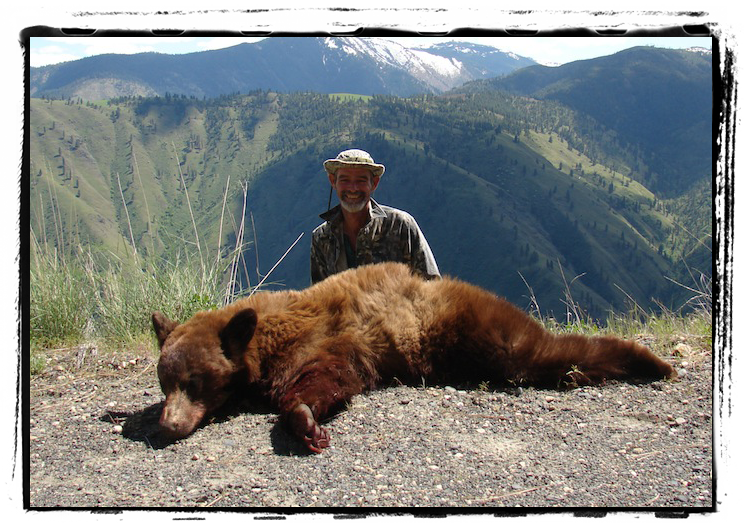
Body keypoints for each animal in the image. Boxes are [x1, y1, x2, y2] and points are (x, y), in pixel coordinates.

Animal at [151, 262, 675, 453]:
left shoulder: (329, 337)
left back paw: (650, 361)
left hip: (471, 322)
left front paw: (307, 423)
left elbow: (324, 377)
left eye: (194, 381)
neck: (267, 337)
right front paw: (309, 423)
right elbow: (336, 378)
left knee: (540, 352)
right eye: (166, 382)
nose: (167, 426)